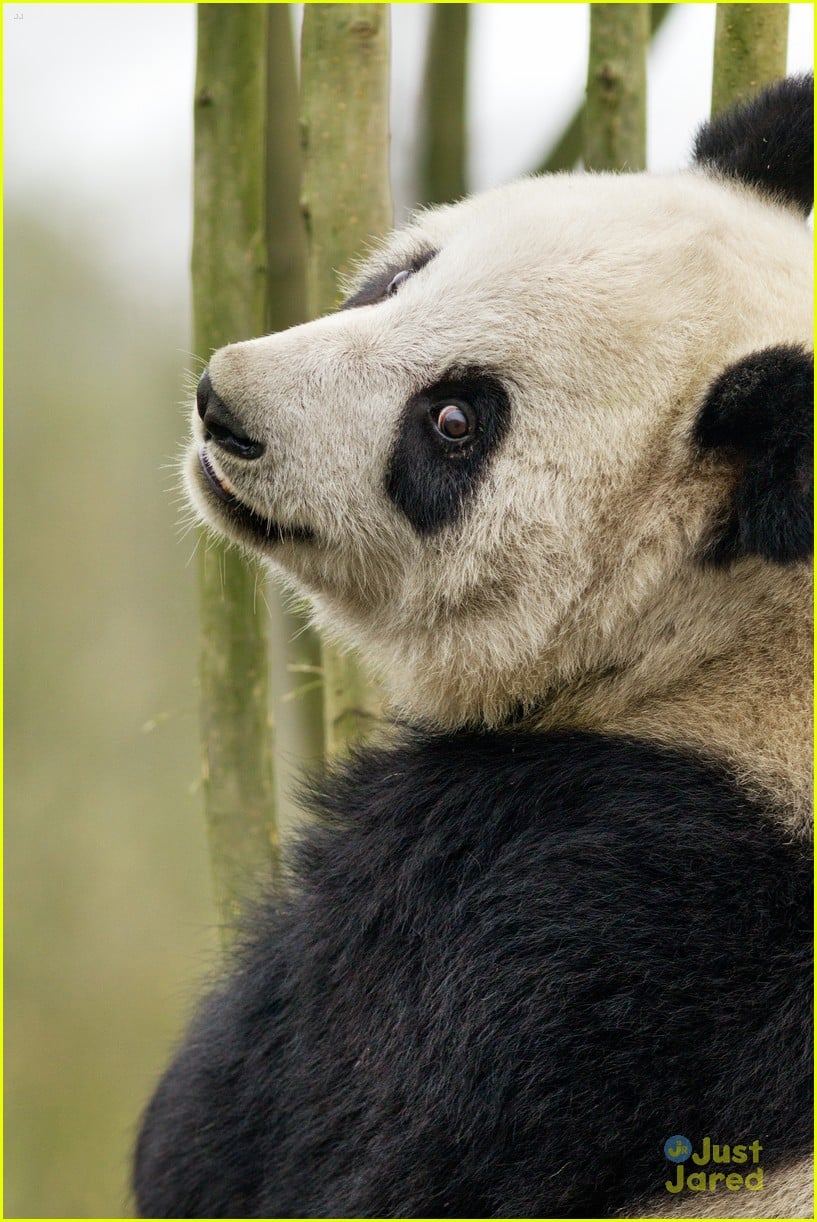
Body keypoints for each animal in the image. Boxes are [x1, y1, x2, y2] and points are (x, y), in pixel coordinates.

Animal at [134, 76, 813, 1218]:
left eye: (455, 420)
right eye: (407, 273)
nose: (224, 407)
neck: (736, 639)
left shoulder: (577, 913)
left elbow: (277, 1130)